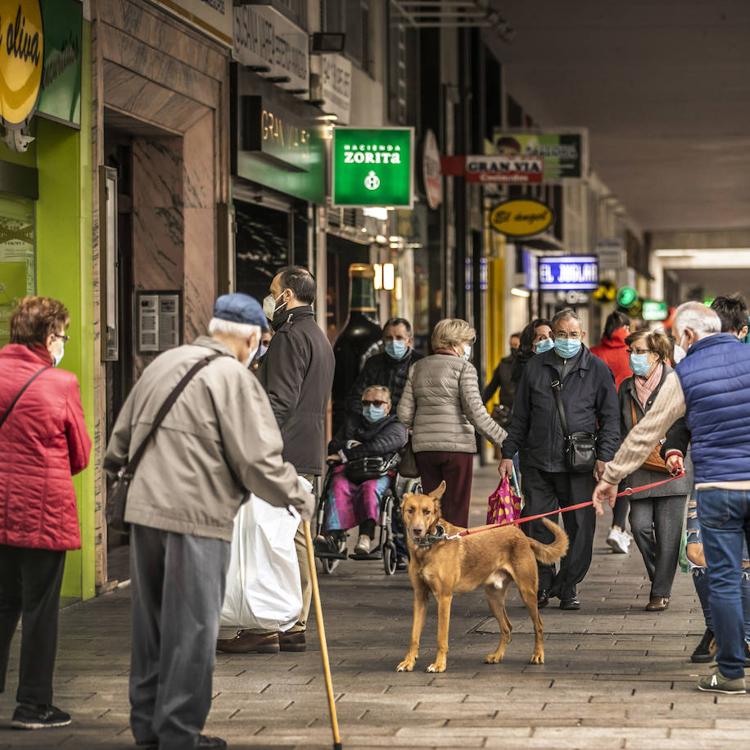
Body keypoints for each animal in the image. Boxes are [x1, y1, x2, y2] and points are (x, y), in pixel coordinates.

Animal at [400, 484, 568, 680]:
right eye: (410, 510)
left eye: (427, 511)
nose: (417, 530)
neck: (428, 546)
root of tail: (521, 535)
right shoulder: (420, 597)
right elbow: (414, 636)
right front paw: (409, 662)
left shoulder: (444, 597)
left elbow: (441, 637)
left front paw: (439, 665)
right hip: (493, 599)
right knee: (507, 628)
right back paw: (497, 656)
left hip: (527, 593)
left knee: (538, 625)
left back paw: (538, 655)